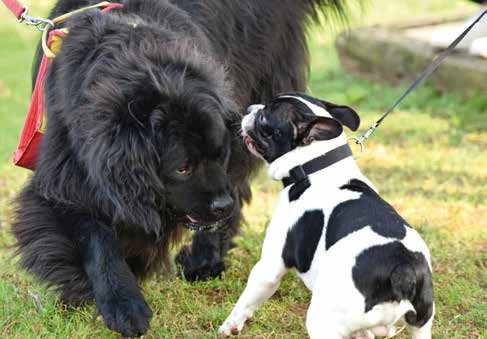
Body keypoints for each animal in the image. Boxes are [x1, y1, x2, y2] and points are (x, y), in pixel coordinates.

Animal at [11, 0, 346, 338]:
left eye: (218, 154)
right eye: (183, 168)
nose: (222, 206)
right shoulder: (65, 174)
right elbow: (95, 237)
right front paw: (122, 303)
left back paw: (204, 260)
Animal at [219, 93, 436, 339]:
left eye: (264, 117)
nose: (250, 108)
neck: (315, 166)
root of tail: (402, 269)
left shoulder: (269, 267)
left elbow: (246, 302)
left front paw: (229, 326)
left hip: (322, 319)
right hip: (420, 322)